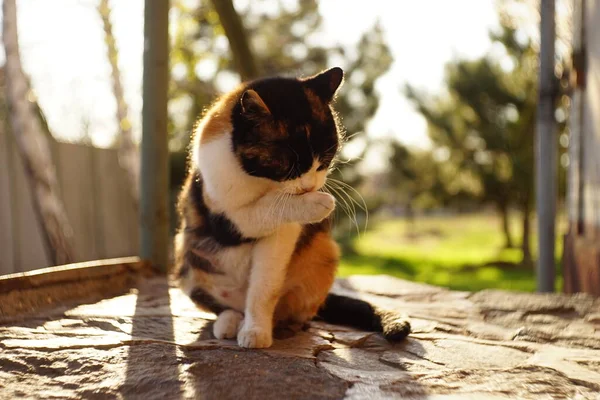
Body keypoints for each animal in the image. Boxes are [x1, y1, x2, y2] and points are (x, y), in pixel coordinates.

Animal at [173, 67, 408, 348]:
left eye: (324, 160)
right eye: (286, 164)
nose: (309, 187)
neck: (262, 182)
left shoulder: (282, 237)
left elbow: (264, 287)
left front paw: (256, 331)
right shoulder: (221, 218)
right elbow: (257, 211)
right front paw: (319, 203)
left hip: (324, 255)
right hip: (186, 257)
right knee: (223, 306)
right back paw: (229, 322)